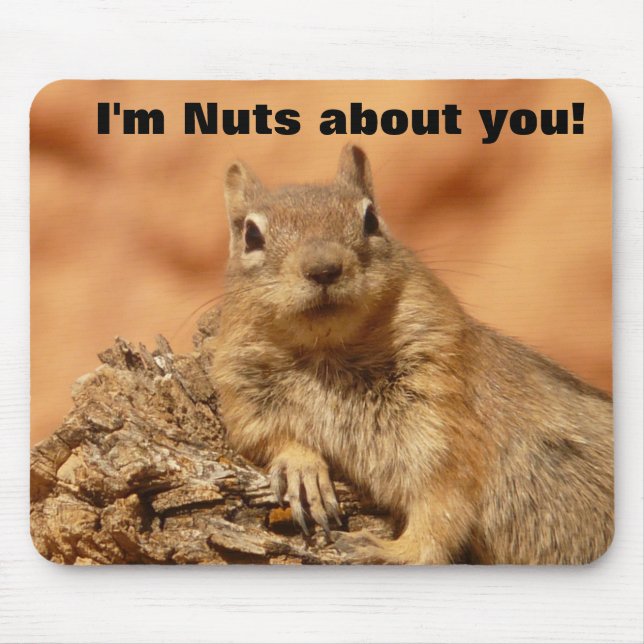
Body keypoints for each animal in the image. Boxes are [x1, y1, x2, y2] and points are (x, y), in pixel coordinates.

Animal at [208, 144, 613, 565]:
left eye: (371, 219)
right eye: (251, 234)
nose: (323, 269)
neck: (327, 353)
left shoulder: (443, 423)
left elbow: (441, 511)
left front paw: (388, 550)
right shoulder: (244, 397)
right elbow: (265, 437)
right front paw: (301, 469)